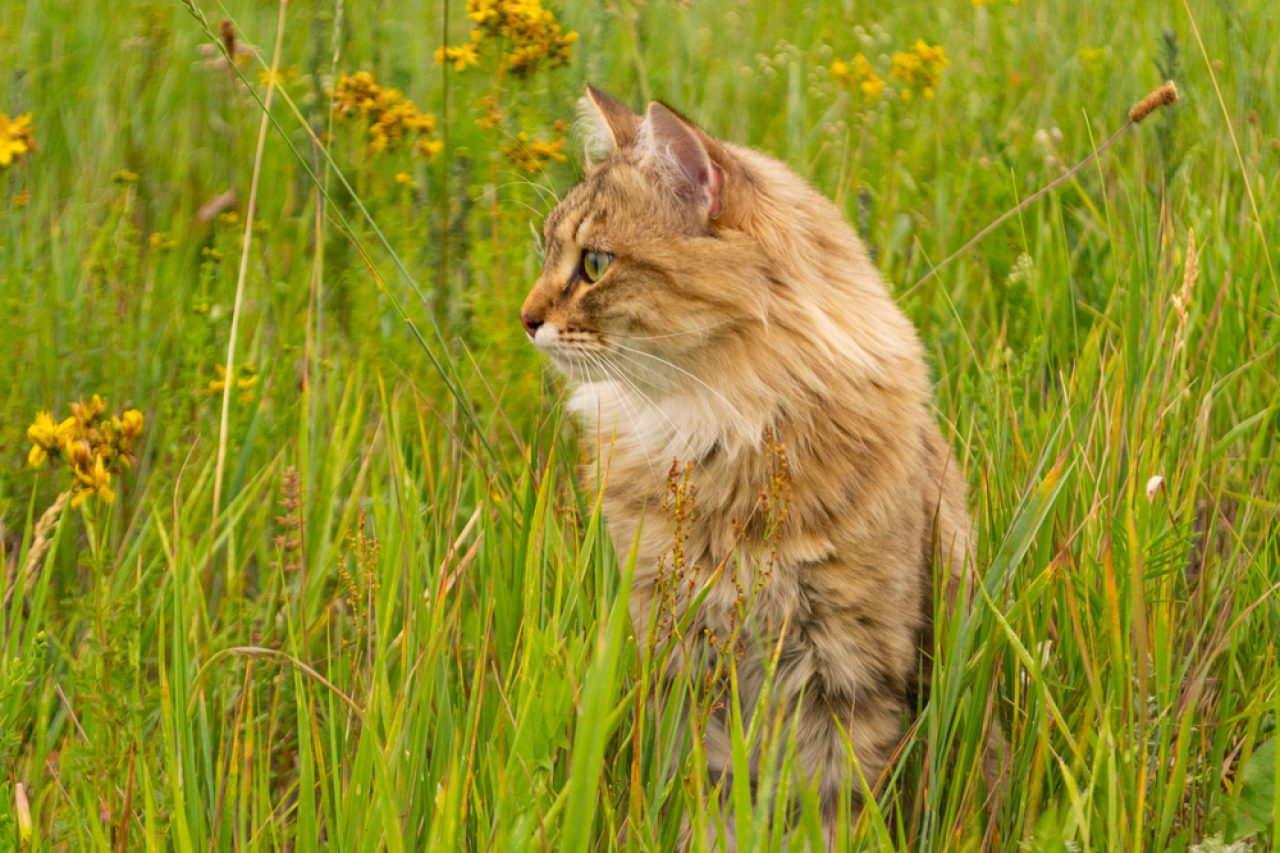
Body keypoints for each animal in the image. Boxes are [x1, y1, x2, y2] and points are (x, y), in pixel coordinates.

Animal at [519, 86, 977, 845]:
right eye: (550, 254)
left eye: (596, 264)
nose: (525, 320)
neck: (719, 433)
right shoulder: (685, 660)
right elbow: (710, 802)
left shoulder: (849, 669)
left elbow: (834, 810)